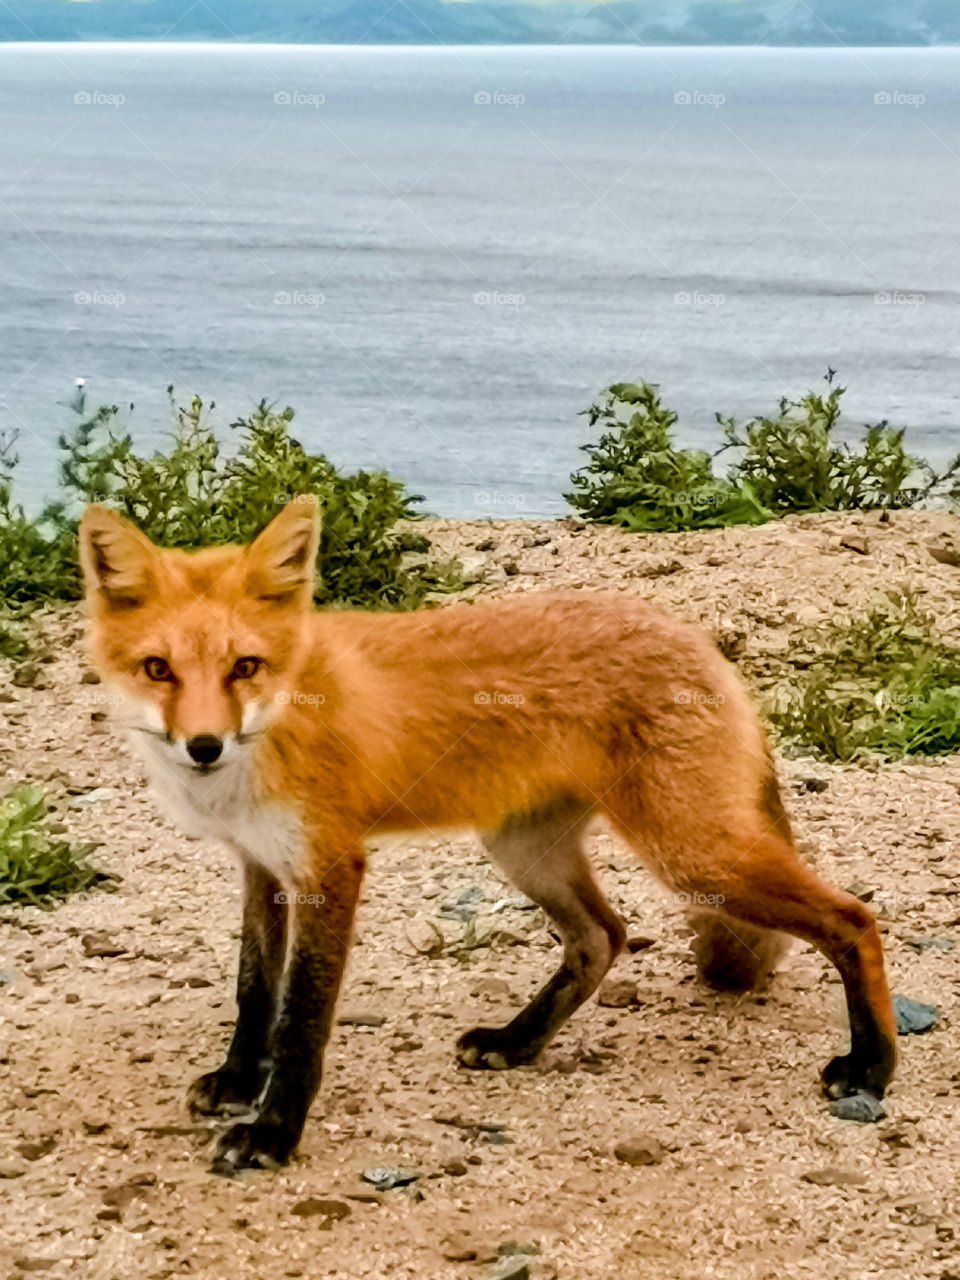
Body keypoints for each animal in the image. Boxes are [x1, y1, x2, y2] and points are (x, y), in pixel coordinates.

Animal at [78, 497, 897, 1174]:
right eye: (158, 669)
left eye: (245, 666)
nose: (204, 746)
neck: (281, 720)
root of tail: (700, 641)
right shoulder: (262, 866)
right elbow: (255, 994)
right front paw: (240, 1082)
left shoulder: (330, 866)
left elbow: (302, 1018)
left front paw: (274, 1133)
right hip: (526, 851)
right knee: (603, 935)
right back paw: (519, 1042)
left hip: (695, 856)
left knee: (854, 919)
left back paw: (873, 1066)